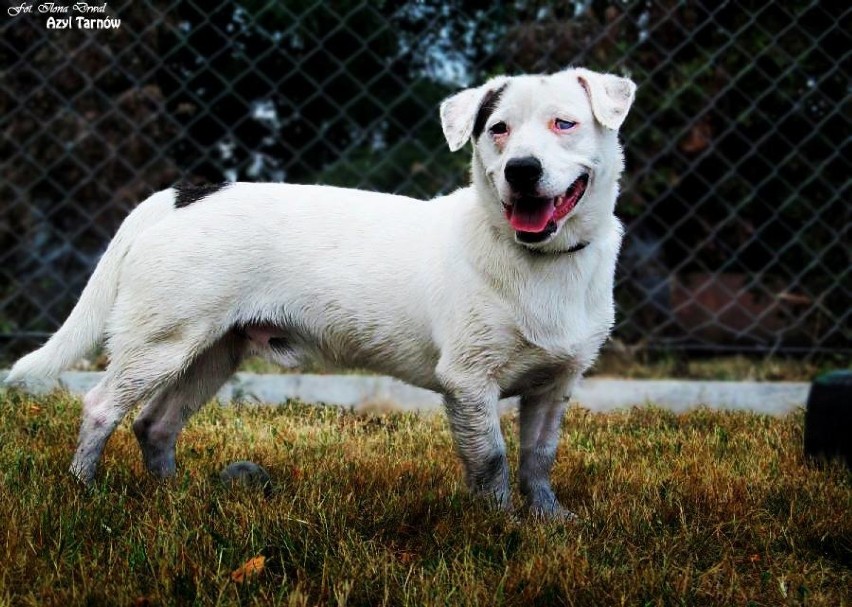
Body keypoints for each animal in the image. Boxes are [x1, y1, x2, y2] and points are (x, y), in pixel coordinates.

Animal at [6, 69, 632, 520]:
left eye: (564, 123)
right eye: (497, 129)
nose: (522, 170)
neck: (539, 261)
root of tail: (186, 194)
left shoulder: (554, 386)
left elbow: (538, 458)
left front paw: (547, 521)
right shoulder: (469, 382)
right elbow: (492, 461)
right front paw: (500, 527)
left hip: (211, 352)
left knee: (155, 424)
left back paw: (175, 497)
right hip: (159, 344)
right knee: (101, 407)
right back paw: (82, 492)